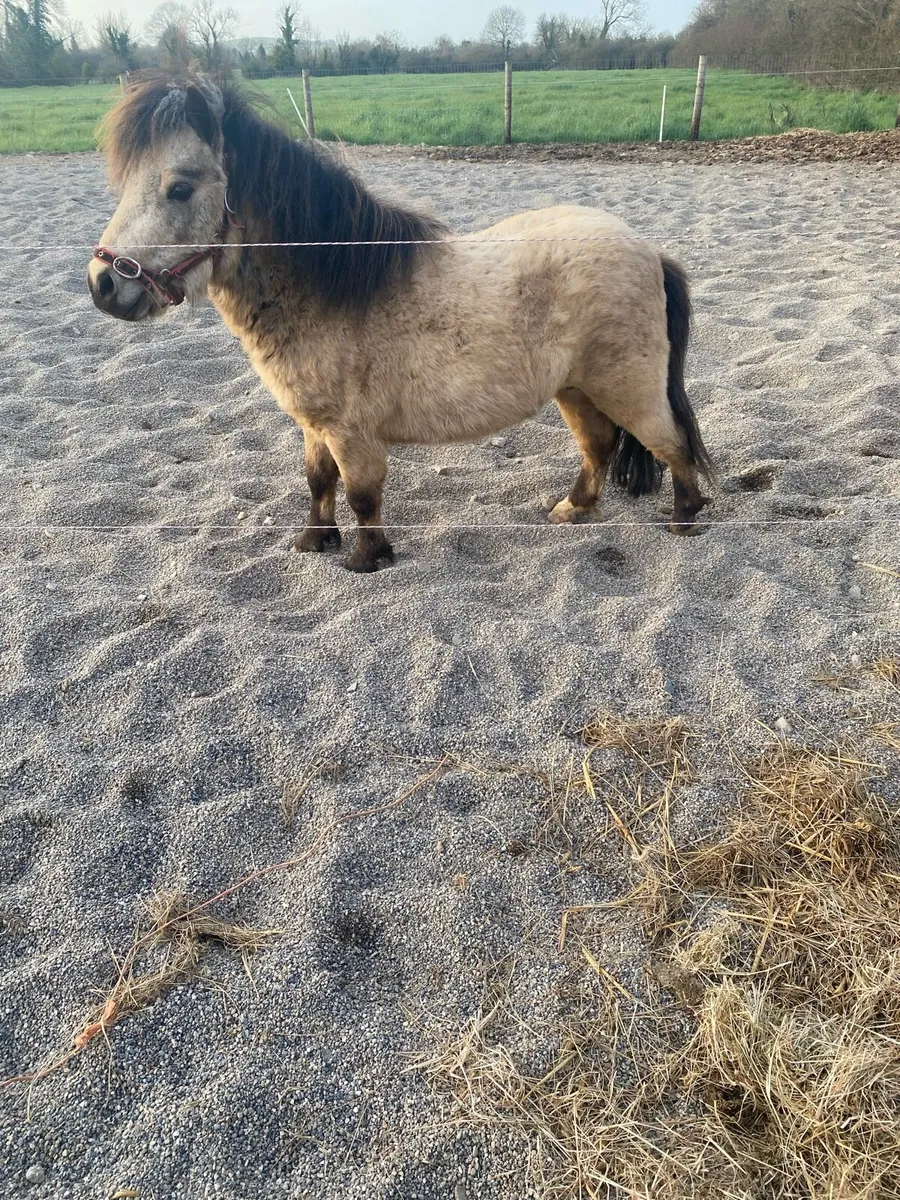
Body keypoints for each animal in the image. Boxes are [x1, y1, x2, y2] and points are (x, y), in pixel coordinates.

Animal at [87, 73, 713, 573]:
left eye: (180, 188)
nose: (103, 284)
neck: (330, 290)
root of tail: (649, 250)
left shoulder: (350, 430)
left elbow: (363, 494)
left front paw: (368, 559)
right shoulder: (315, 425)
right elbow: (319, 482)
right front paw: (314, 543)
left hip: (626, 387)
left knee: (671, 442)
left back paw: (685, 520)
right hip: (576, 389)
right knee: (599, 446)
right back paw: (571, 509)